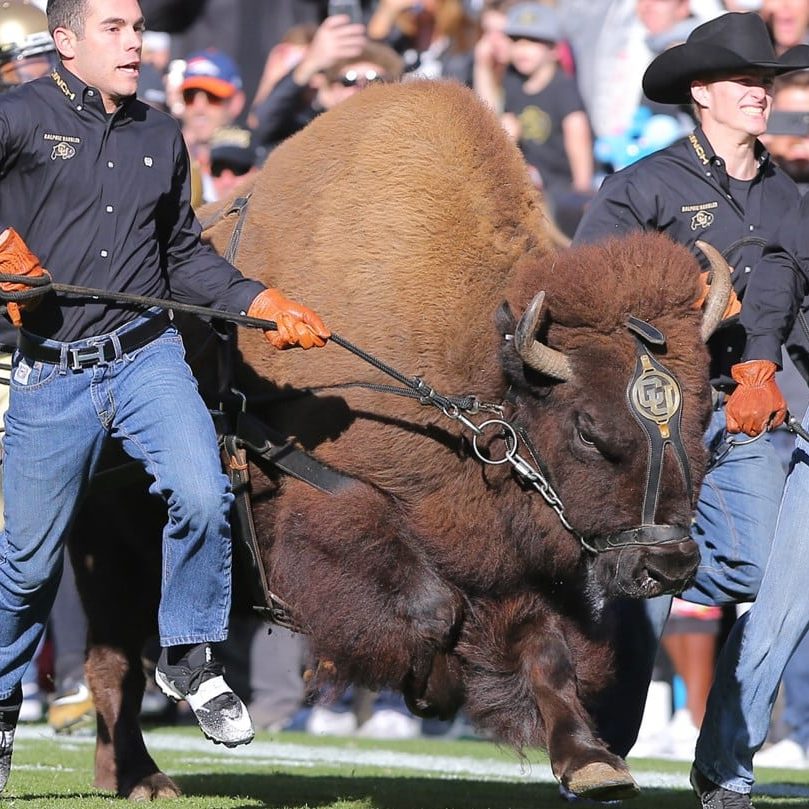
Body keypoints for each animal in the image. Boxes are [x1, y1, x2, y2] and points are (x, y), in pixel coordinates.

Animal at [69, 82, 724, 800]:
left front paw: (591, 763)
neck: (475, 367)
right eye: (587, 428)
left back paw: (120, 771)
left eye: (705, 412)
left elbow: (544, 649)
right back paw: (143, 775)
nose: (671, 565)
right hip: (110, 552)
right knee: (114, 664)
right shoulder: (333, 512)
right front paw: (433, 688)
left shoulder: (503, 556)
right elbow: (431, 607)